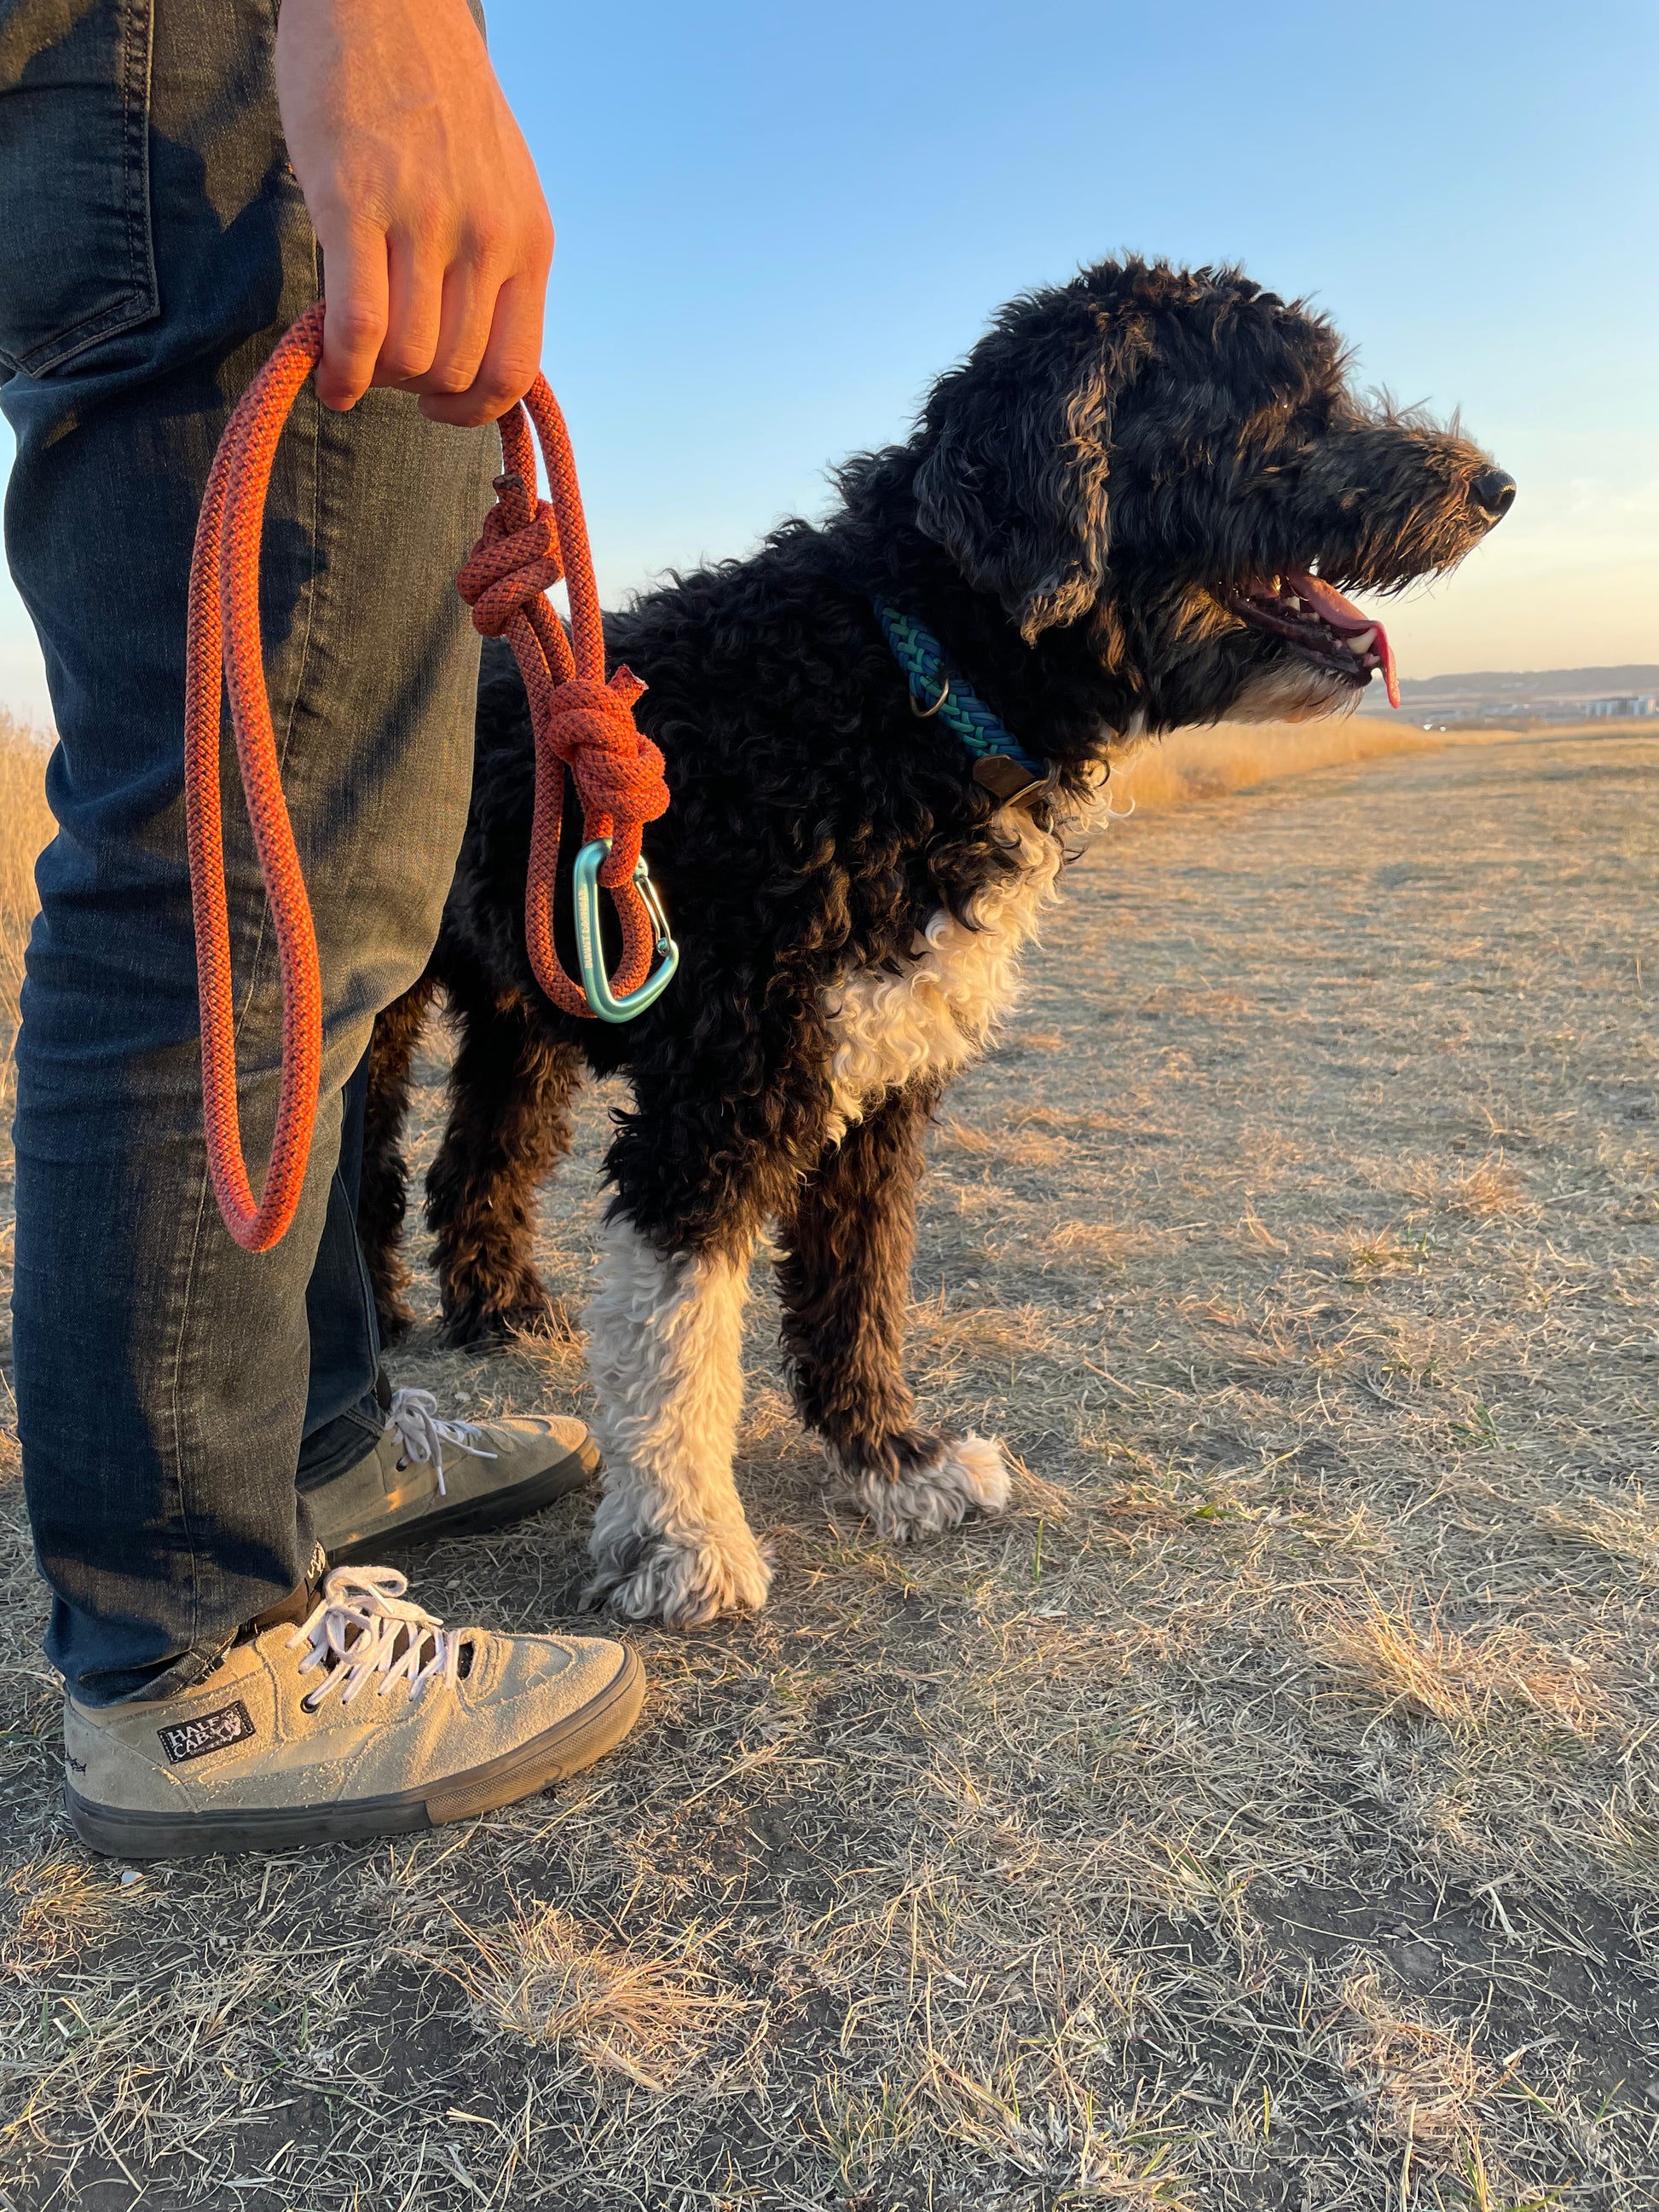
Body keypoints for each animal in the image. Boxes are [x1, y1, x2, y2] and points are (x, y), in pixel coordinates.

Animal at [362, 254, 1522, 1627]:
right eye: (1292, 404)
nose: (1492, 484)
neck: (901, 683)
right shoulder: (728, 1083)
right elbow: (681, 1331)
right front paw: (681, 1539)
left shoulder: (880, 1068)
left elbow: (861, 1281)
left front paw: (892, 1461)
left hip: (533, 993)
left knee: (478, 1155)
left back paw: (499, 1309)